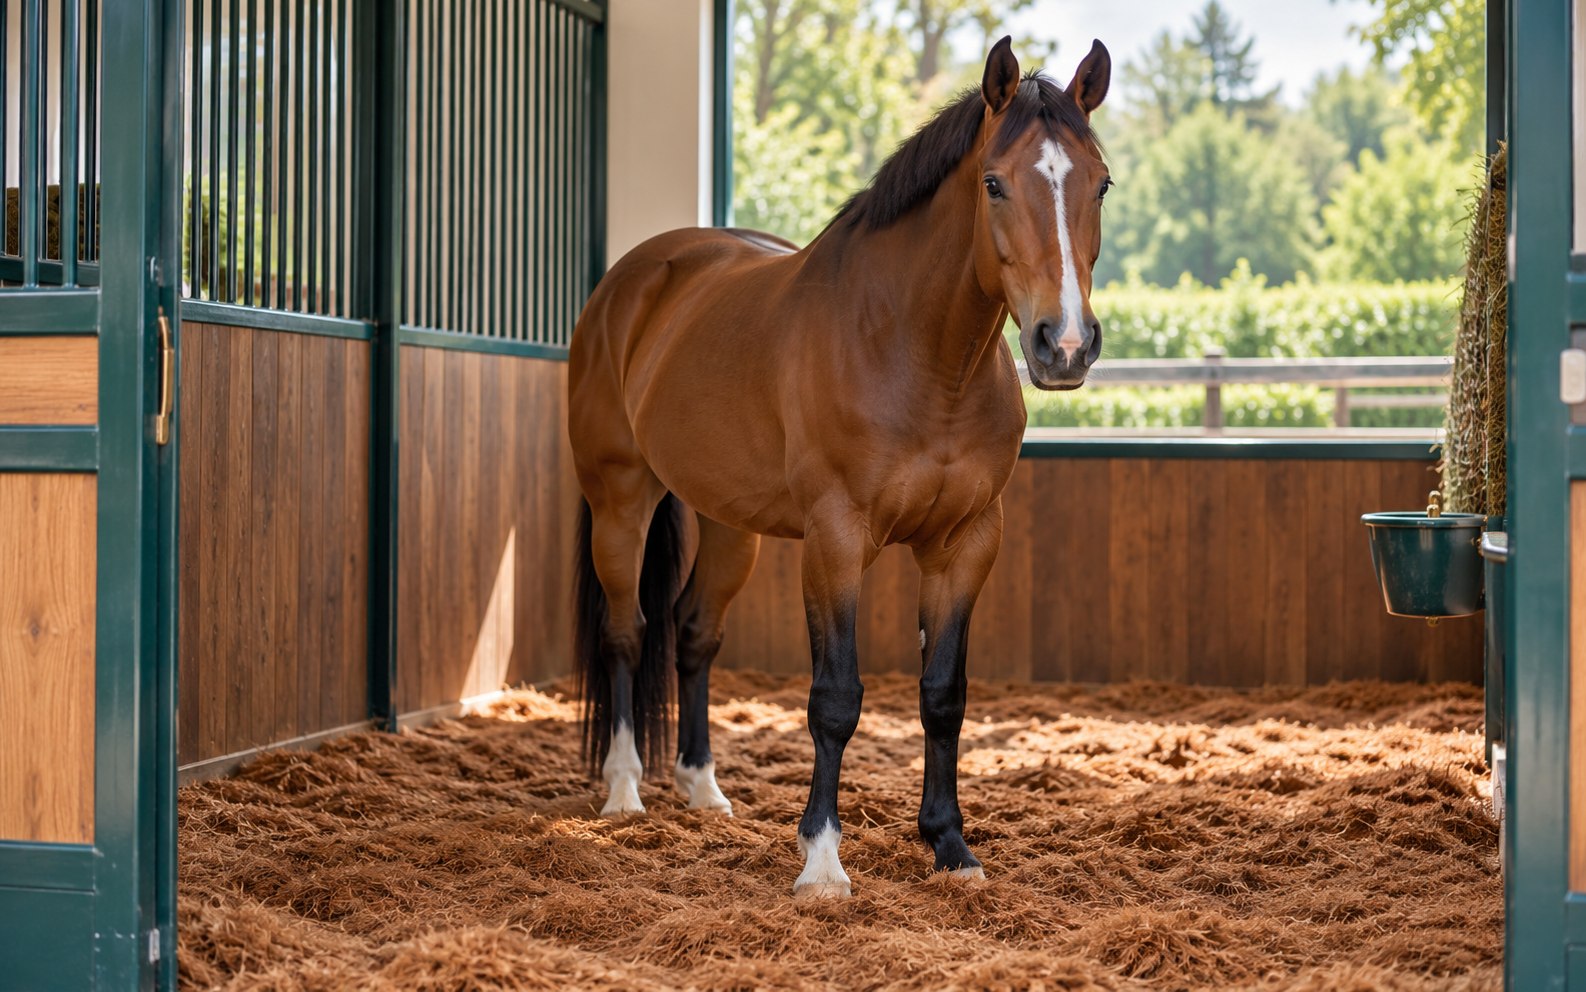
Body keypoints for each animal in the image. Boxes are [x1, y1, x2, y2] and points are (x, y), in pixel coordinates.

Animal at [567, 36, 1111, 898]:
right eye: (994, 183)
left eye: (1101, 183)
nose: (1064, 345)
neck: (918, 353)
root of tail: (633, 280)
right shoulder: (835, 541)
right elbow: (835, 697)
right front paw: (821, 859)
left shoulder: (966, 544)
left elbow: (943, 695)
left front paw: (950, 846)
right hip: (620, 500)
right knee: (627, 632)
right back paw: (624, 791)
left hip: (730, 525)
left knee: (693, 632)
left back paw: (702, 788)